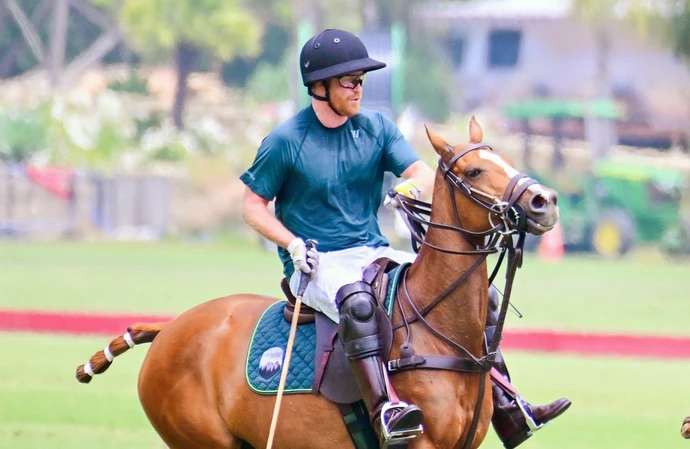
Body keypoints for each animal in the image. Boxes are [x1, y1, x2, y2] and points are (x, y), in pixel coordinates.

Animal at [76, 117, 560, 446]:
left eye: (506, 161)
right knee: (356, 303)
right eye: (475, 172)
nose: (545, 201)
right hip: (202, 438)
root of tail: (166, 329)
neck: (436, 332)